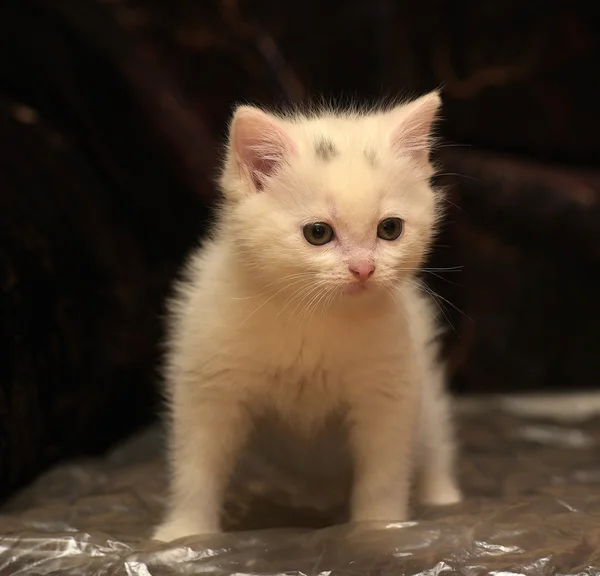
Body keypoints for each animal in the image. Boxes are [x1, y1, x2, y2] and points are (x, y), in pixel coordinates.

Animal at [152, 91, 462, 540]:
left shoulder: (390, 386)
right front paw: (184, 533)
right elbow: (197, 462)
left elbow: (385, 467)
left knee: (434, 436)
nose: (364, 269)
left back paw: (442, 494)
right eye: (318, 233)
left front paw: (378, 528)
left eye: (390, 229)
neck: (313, 314)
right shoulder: (209, 379)